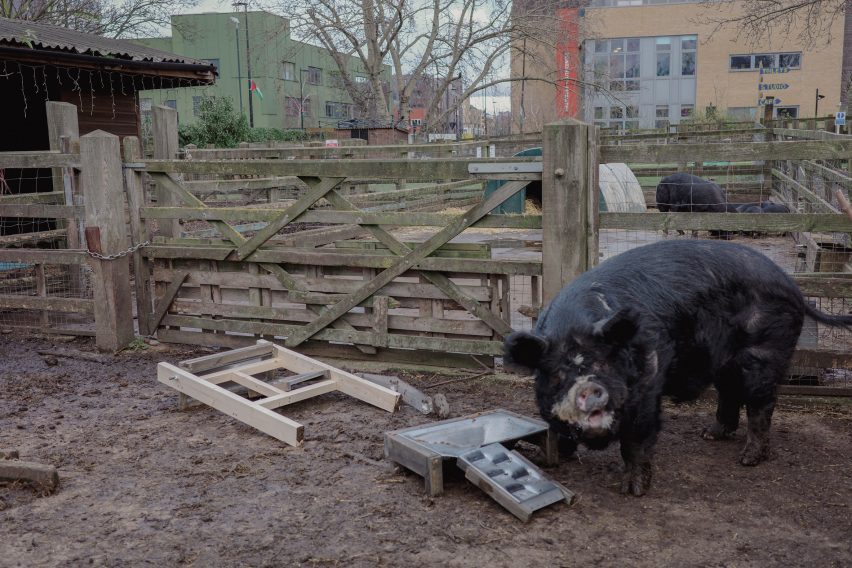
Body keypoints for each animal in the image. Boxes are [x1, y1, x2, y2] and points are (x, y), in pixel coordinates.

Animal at [506, 241, 852, 496]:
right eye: (558, 375)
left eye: (603, 362)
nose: (589, 387)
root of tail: (793, 287)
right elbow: (554, 430)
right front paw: (550, 458)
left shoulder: (648, 383)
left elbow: (636, 439)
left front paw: (633, 491)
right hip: (725, 360)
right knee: (729, 394)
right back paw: (709, 435)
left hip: (766, 351)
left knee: (760, 404)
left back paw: (747, 460)